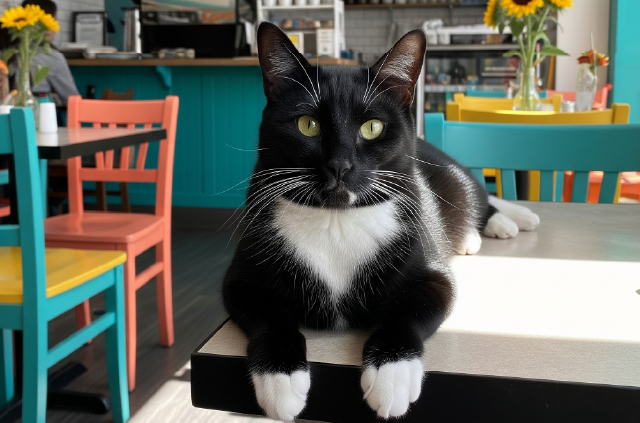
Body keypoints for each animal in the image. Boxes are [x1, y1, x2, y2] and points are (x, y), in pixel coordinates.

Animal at [222, 22, 540, 422]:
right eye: (308, 125)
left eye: (372, 127)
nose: (340, 166)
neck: (337, 220)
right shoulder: (242, 277)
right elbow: (268, 314)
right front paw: (280, 379)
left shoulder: (431, 273)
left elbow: (407, 311)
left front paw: (391, 375)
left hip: (456, 179)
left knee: (481, 198)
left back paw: (505, 222)